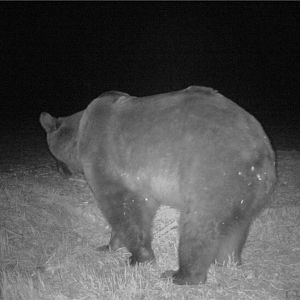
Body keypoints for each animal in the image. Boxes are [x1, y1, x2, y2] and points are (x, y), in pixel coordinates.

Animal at [39, 85, 276, 284]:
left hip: (214, 174)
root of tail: (262, 150)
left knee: (198, 227)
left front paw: (139, 257)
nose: (59, 170)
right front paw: (109, 245)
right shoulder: (143, 181)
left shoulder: (105, 156)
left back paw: (181, 274)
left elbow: (120, 206)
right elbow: (139, 206)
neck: (80, 133)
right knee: (236, 226)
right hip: (246, 190)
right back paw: (229, 261)